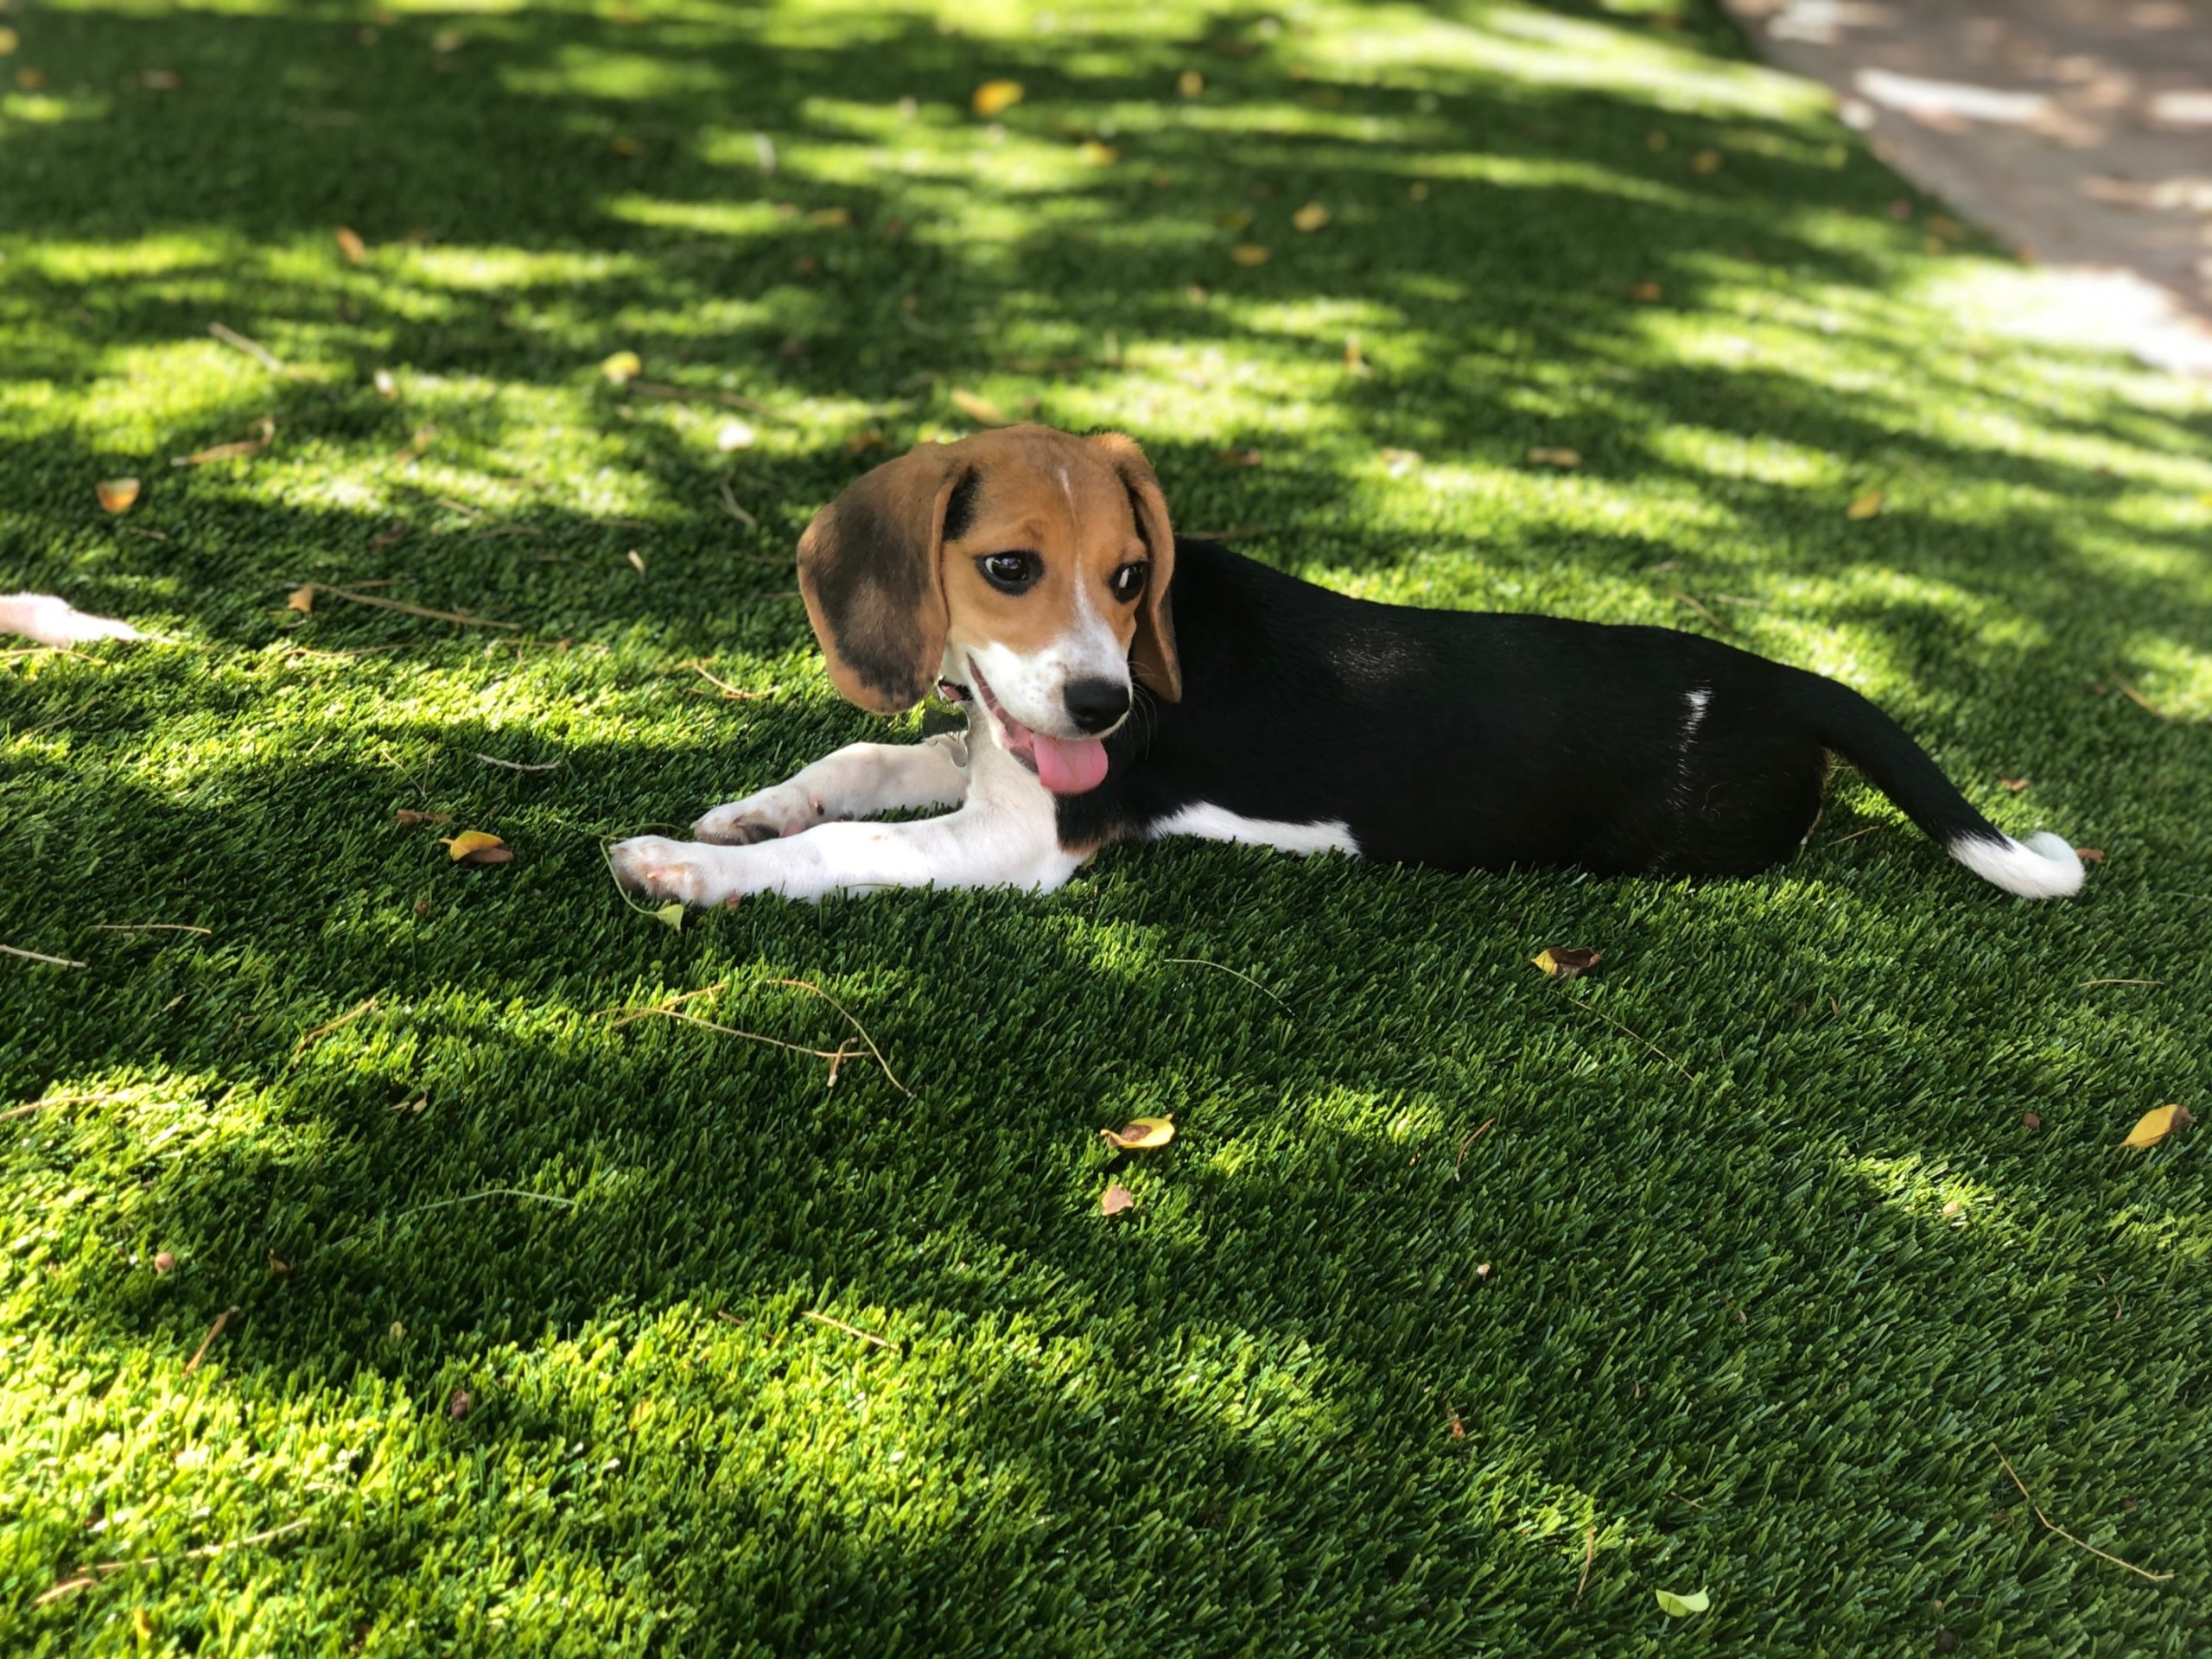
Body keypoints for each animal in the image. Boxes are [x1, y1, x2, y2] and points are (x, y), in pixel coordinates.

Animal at [610, 422, 2088, 902]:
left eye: (1133, 578)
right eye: (1010, 571)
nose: (1107, 703)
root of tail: (1779, 676)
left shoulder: (1024, 841)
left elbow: (848, 846)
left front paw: (690, 870)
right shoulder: (992, 753)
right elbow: (861, 758)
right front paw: (746, 810)